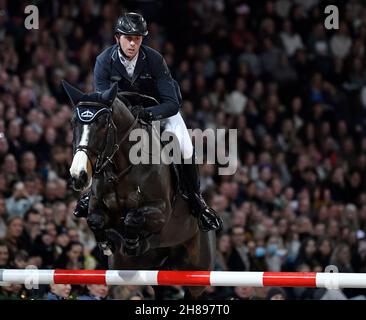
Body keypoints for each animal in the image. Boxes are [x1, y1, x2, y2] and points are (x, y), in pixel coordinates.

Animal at [63, 81, 216, 298]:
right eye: (72, 122)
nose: (79, 175)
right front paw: (107, 244)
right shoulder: (97, 206)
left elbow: (133, 217)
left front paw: (132, 241)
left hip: (197, 271)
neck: (121, 169)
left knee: (193, 289)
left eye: (103, 123)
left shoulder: (161, 211)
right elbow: (95, 219)